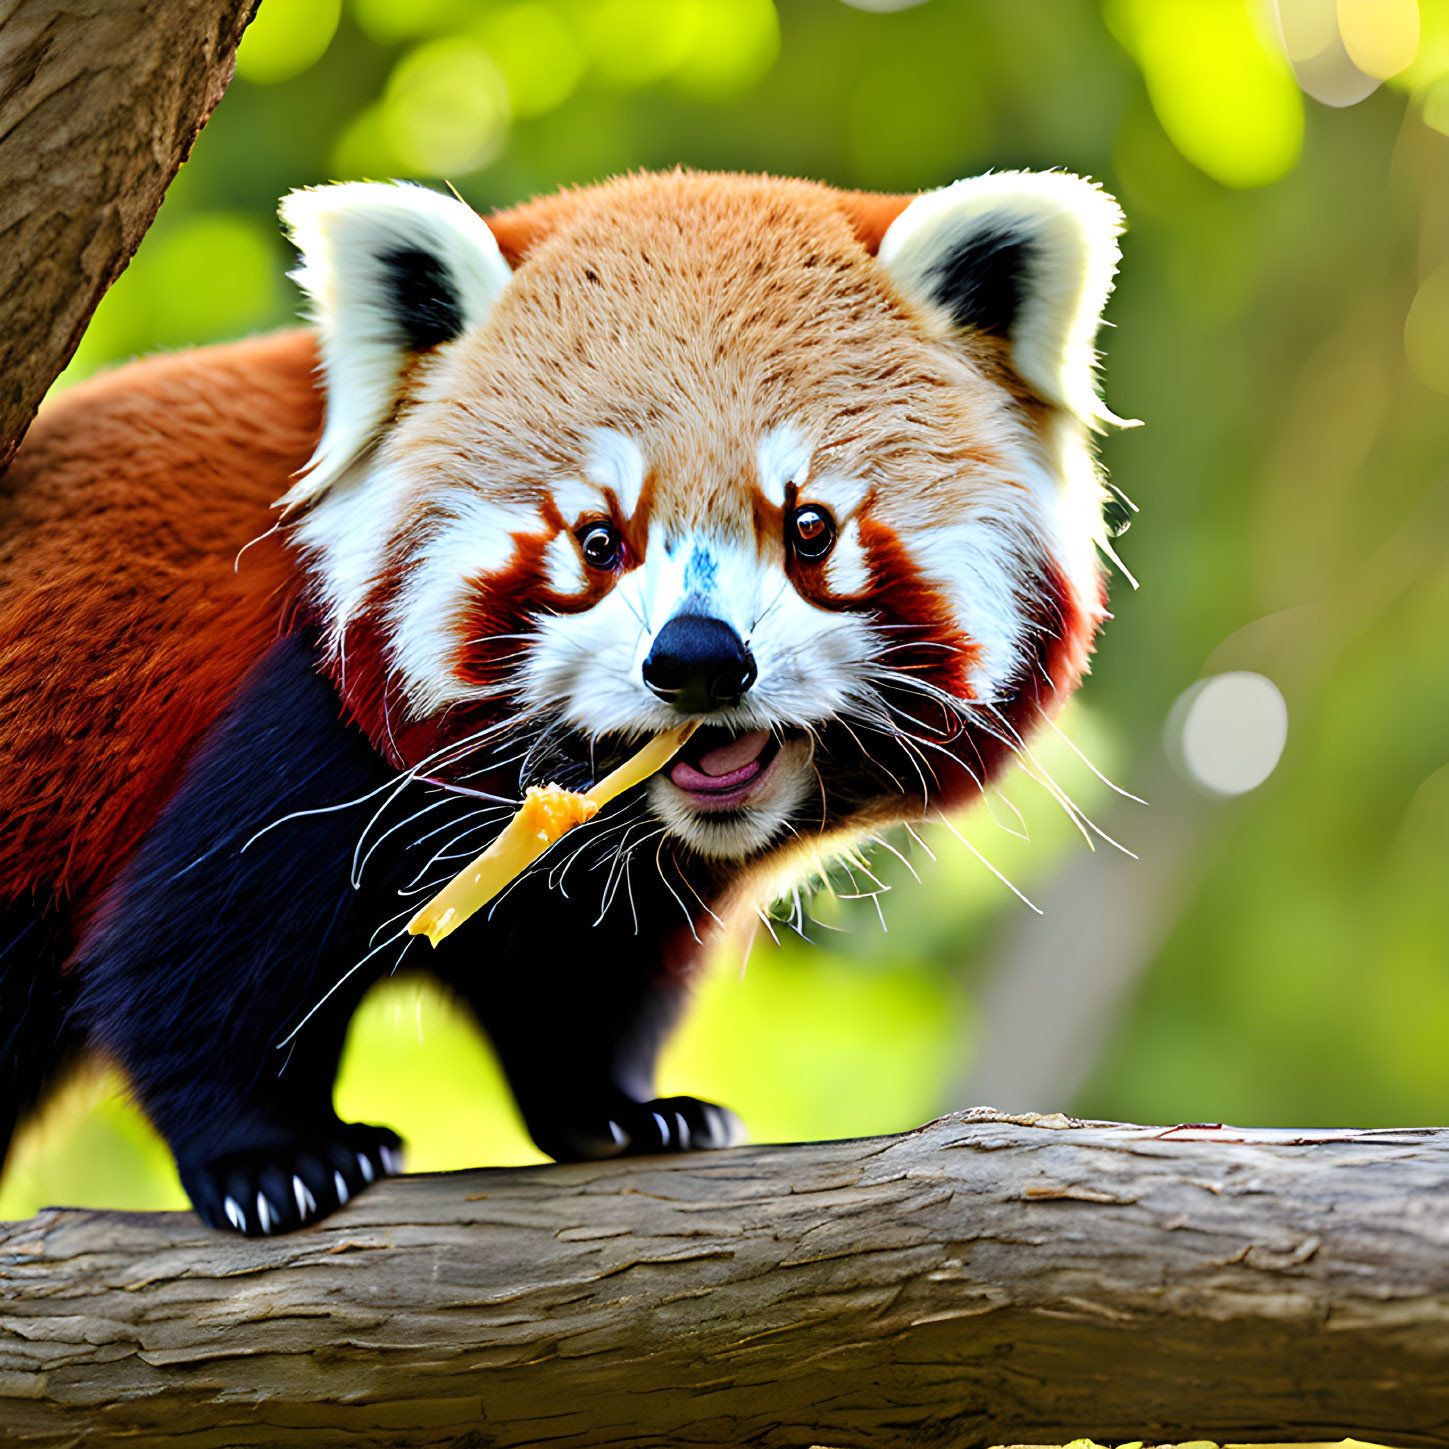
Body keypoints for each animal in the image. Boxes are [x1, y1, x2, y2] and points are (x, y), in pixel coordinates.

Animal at [0, 169, 1118, 1234]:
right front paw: (270, 1156)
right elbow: (184, 963)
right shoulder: (307, 727)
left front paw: (616, 1112)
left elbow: (581, 979)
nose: (698, 660)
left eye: (809, 528)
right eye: (597, 540)